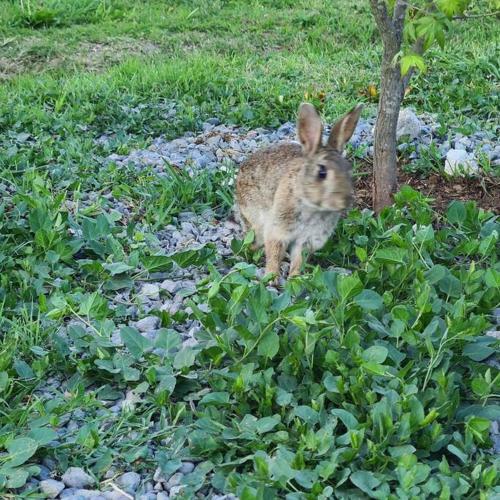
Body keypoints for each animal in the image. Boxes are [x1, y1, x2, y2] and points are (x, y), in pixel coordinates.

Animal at [236, 101, 362, 282]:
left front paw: (295, 279)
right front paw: (272, 277)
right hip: (254, 219)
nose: (346, 200)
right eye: (322, 172)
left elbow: (299, 259)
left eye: (349, 170)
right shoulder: (277, 230)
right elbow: (274, 253)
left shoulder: (307, 240)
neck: (311, 206)